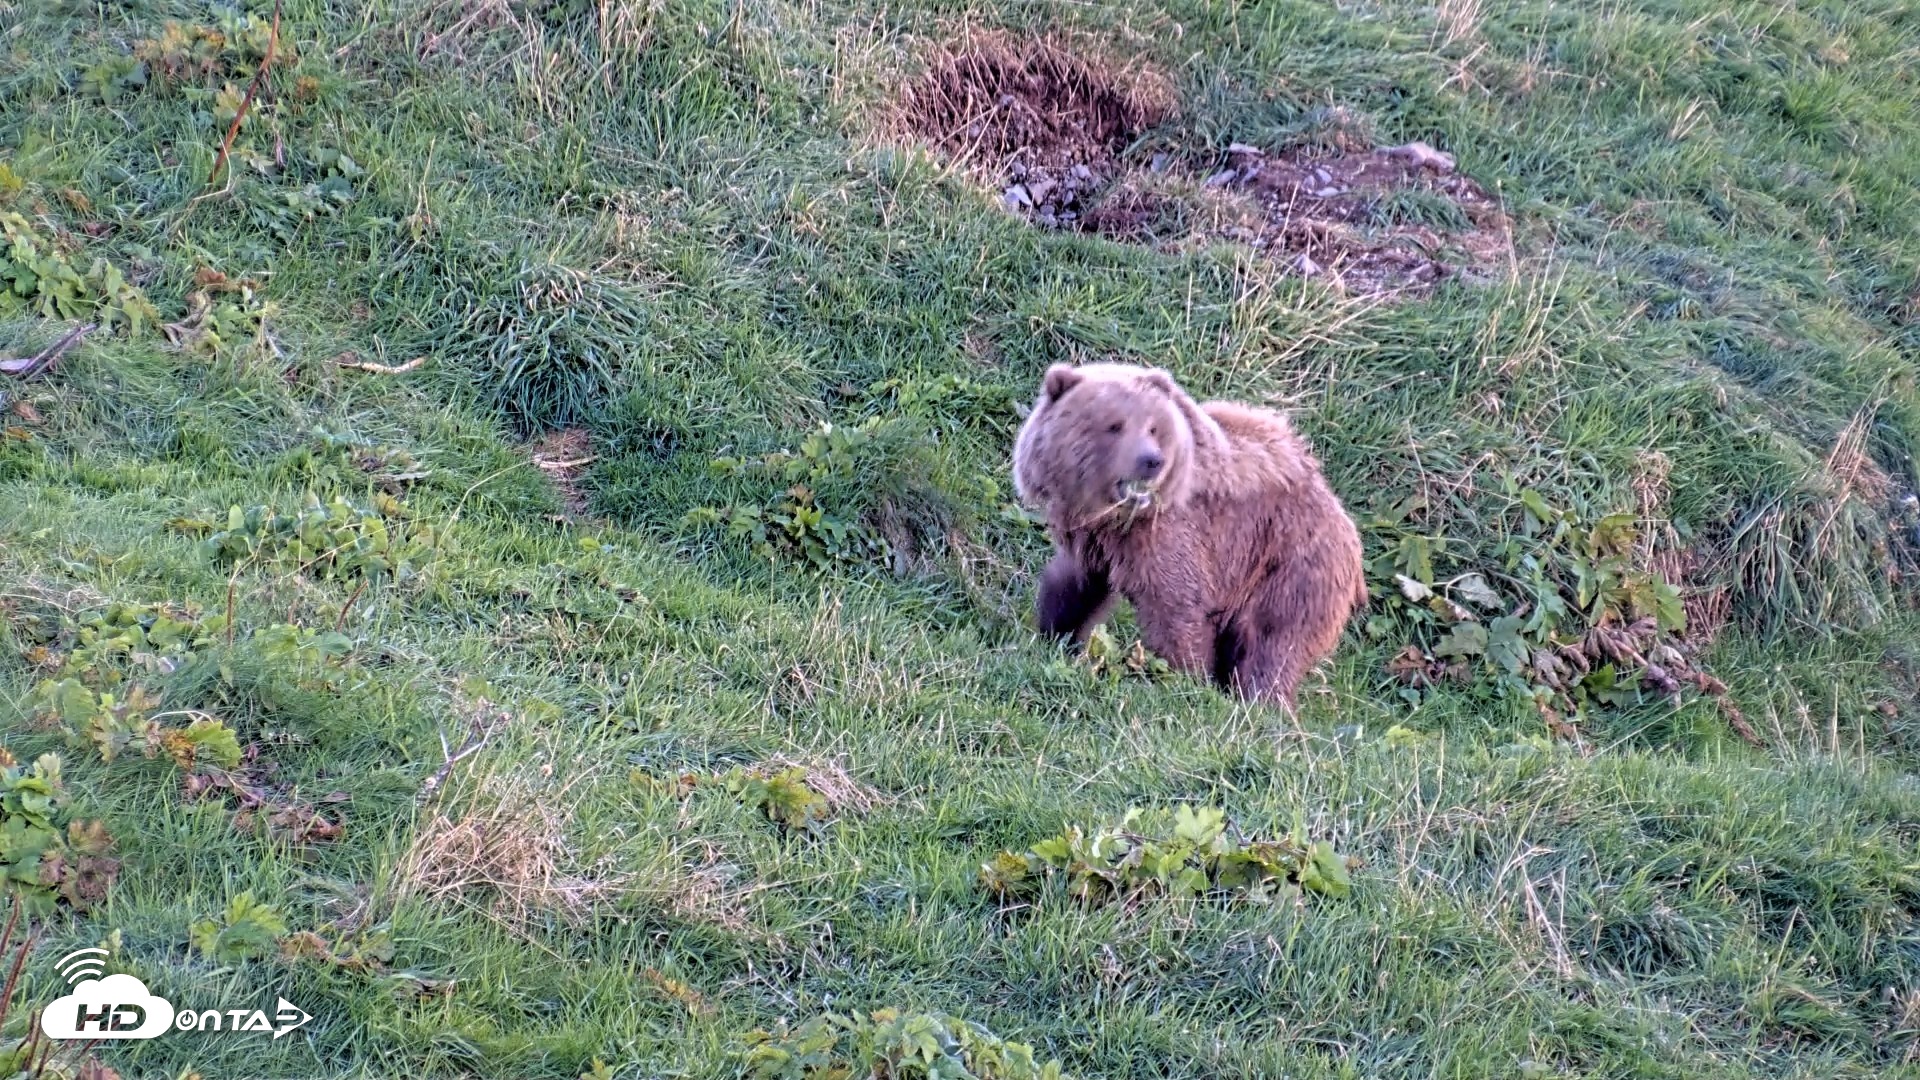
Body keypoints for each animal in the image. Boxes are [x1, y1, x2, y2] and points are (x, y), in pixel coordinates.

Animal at [1012, 361, 1367, 708]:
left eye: (1152, 427)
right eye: (1114, 425)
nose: (1151, 460)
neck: (1114, 518)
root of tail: (1342, 514)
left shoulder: (1171, 536)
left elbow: (1176, 607)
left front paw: (1182, 680)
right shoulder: (1094, 544)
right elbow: (1073, 588)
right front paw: (1055, 635)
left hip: (1290, 562)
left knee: (1273, 638)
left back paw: (1260, 702)